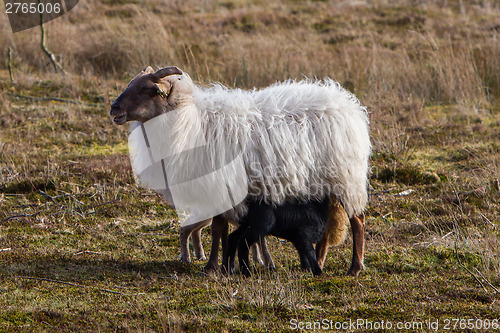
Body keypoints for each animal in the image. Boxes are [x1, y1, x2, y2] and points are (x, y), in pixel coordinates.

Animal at [110, 65, 372, 274]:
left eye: (148, 90)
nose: (114, 109)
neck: (188, 122)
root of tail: (349, 106)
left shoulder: (218, 184)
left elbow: (218, 229)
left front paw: (212, 267)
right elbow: (223, 229)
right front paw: (225, 265)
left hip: (346, 177)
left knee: (357, 220)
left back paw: (355, 267)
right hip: (323, 183)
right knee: (328, 225)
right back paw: (319, 261)